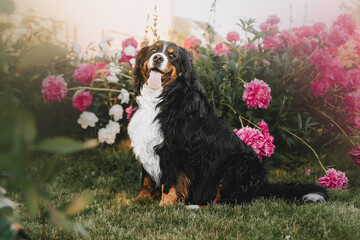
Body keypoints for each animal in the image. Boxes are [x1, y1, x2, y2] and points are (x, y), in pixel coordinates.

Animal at [128, 40, 328, 207]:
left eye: (172, 56)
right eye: (153, 50)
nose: (158, 57)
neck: (161, 99)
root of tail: (262, 186)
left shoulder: (173, 151)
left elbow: (170, 184)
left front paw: (164, 206)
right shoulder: (148, 144)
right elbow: (146, 180)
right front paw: (138, 200)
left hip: (236, 167)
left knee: (223, 203)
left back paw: (194, 206)